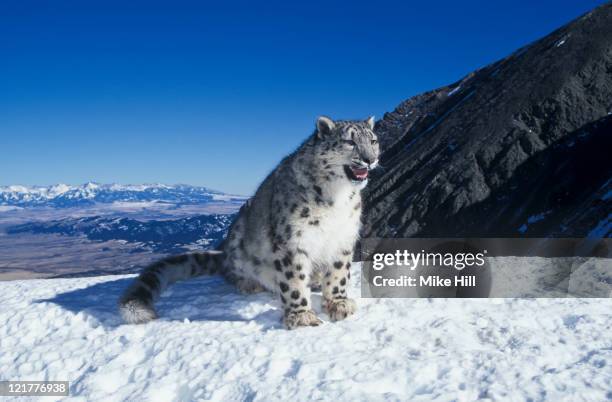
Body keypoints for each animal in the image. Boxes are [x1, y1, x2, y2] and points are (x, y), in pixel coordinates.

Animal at [119, 114, 378, 328]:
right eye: (350, 142)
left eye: (373, 140)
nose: (370, 159)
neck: (337, 198)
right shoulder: (291, 241)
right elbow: (294, 281)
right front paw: (301, 316)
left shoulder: (343, 237)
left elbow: (338, 274)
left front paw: (338, 303)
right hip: (238, 237)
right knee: (230, 270)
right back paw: (248, 283)